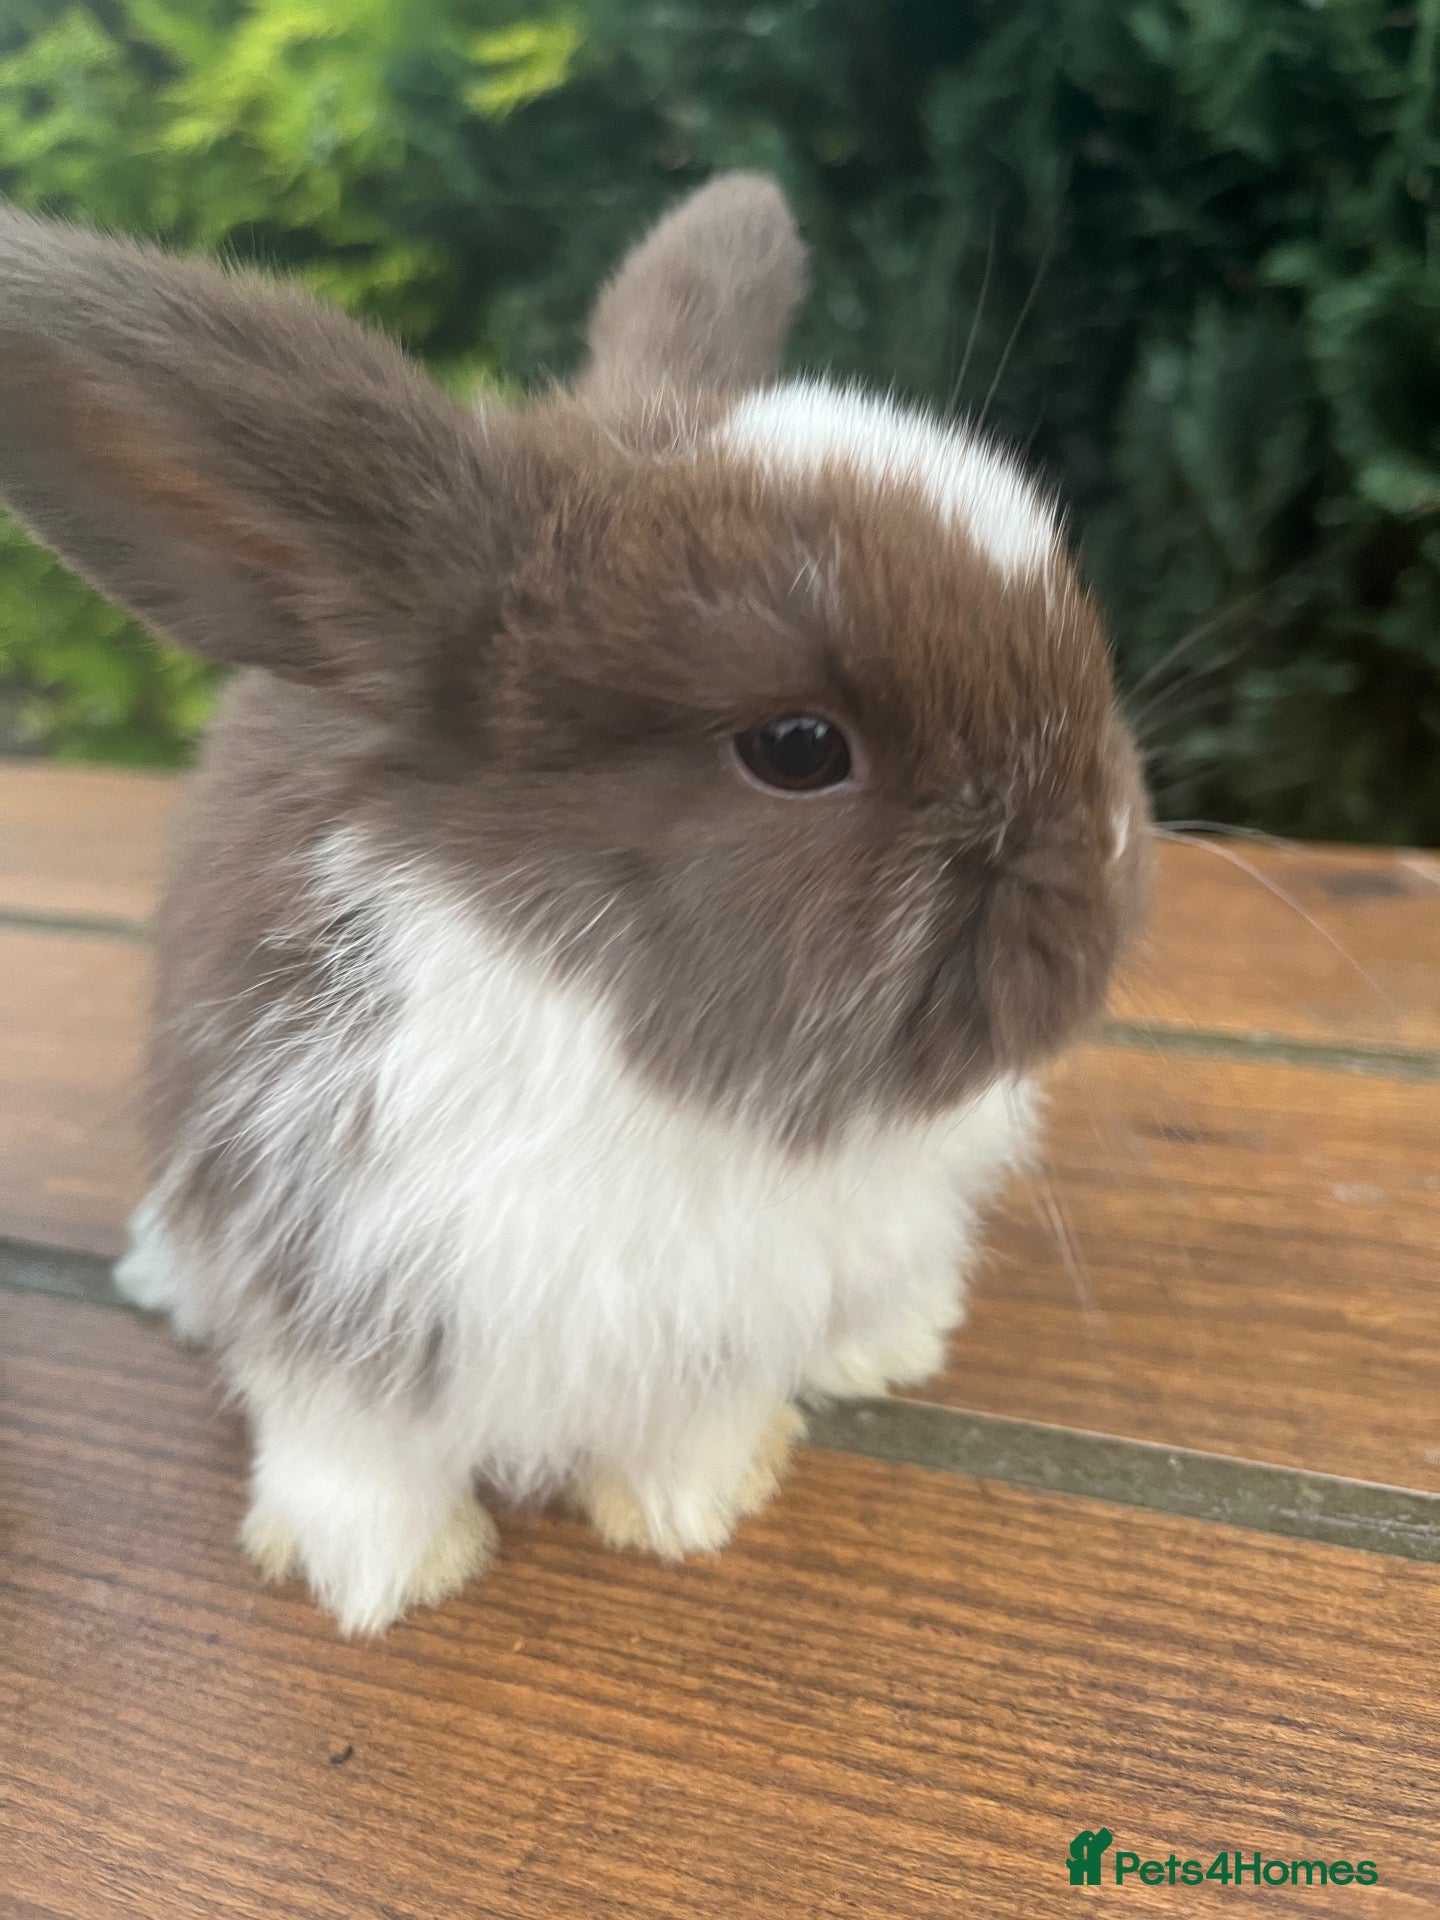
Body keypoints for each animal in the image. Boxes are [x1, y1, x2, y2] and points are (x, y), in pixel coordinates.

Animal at [0, 174, 1151, 1633]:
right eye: (797, 748)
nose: (1107, 872)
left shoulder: (717, 1323)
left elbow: (694, 1422)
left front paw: (690, 1513)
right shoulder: (330, 1262)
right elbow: (352, 1450)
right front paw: (380, 1578)